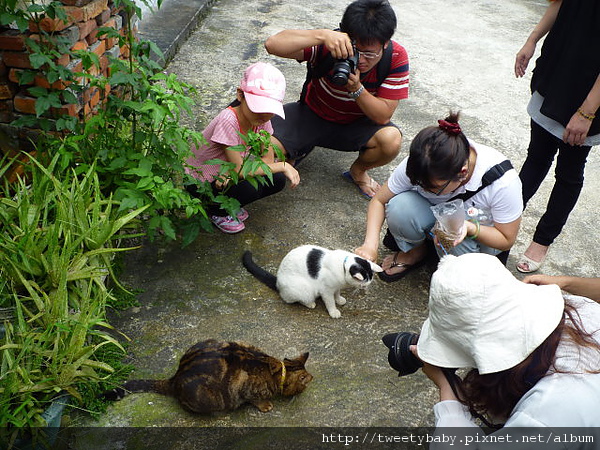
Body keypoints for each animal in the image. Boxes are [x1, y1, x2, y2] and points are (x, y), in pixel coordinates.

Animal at [241, 246, 382, 316]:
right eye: (364, 284)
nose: (365, 288)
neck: (343, 266)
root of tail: (277, 282)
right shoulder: (326, 290)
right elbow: (330, 302)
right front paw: (333, 311)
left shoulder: (336, 287)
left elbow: (337, 294)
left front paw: (339, 299)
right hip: (304, 289)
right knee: (291, 299)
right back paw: (310, 304)